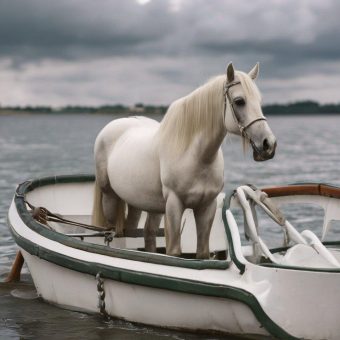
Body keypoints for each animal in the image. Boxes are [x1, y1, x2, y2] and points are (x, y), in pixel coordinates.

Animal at [92, 63, 276, 258]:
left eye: (259, 101)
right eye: (240, 101)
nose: (269, 144)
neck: (196, 156)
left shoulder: (207, 206)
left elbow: (202, 253)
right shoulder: (174, 205)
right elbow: (174, 252)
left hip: (144, 204)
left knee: (145, 232)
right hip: (110, 198)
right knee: (111, 231)